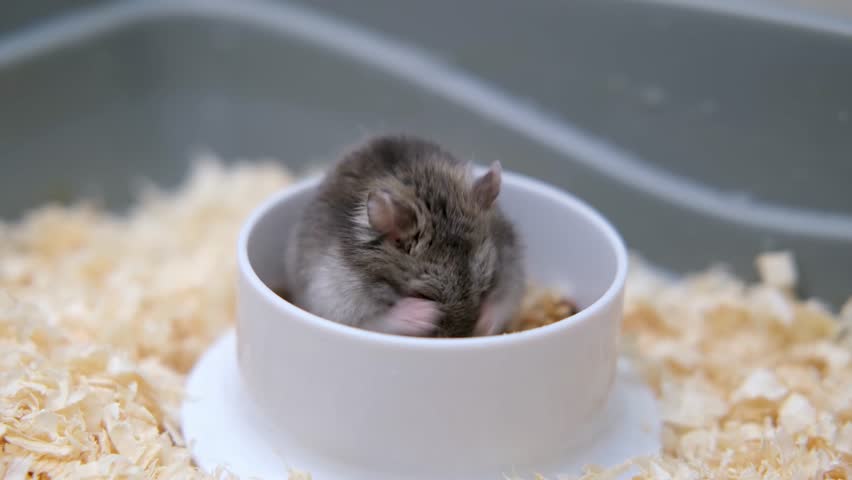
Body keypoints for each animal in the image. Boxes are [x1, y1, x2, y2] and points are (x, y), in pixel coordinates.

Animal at [284, 134, 525, 338]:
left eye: (486, 286)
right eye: (422, 295)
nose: (461, 337)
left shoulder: (512, 269)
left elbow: (503, 301)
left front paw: (486, 323)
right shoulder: (338, 300)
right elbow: (378, 321)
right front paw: (424, 314)